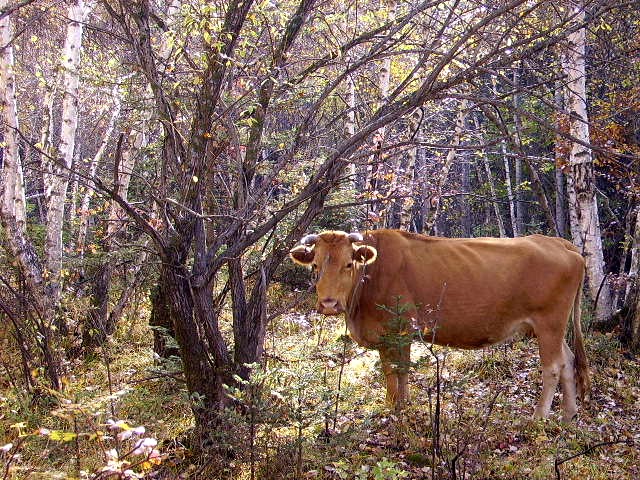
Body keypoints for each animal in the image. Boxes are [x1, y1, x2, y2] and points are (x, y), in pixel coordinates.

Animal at [290, 229, 592, 420]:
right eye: (315, 265)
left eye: (348, 264)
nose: (329, 303)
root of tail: (558, 243)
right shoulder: (390, 336)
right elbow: (395, 372)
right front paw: (397, 405)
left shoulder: (399, 329)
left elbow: (397, 370)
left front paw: (396, 410)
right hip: (553, 327)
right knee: (568, 360)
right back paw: (568, 415)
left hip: (549, 322)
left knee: (552, 367)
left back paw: (538, 418)